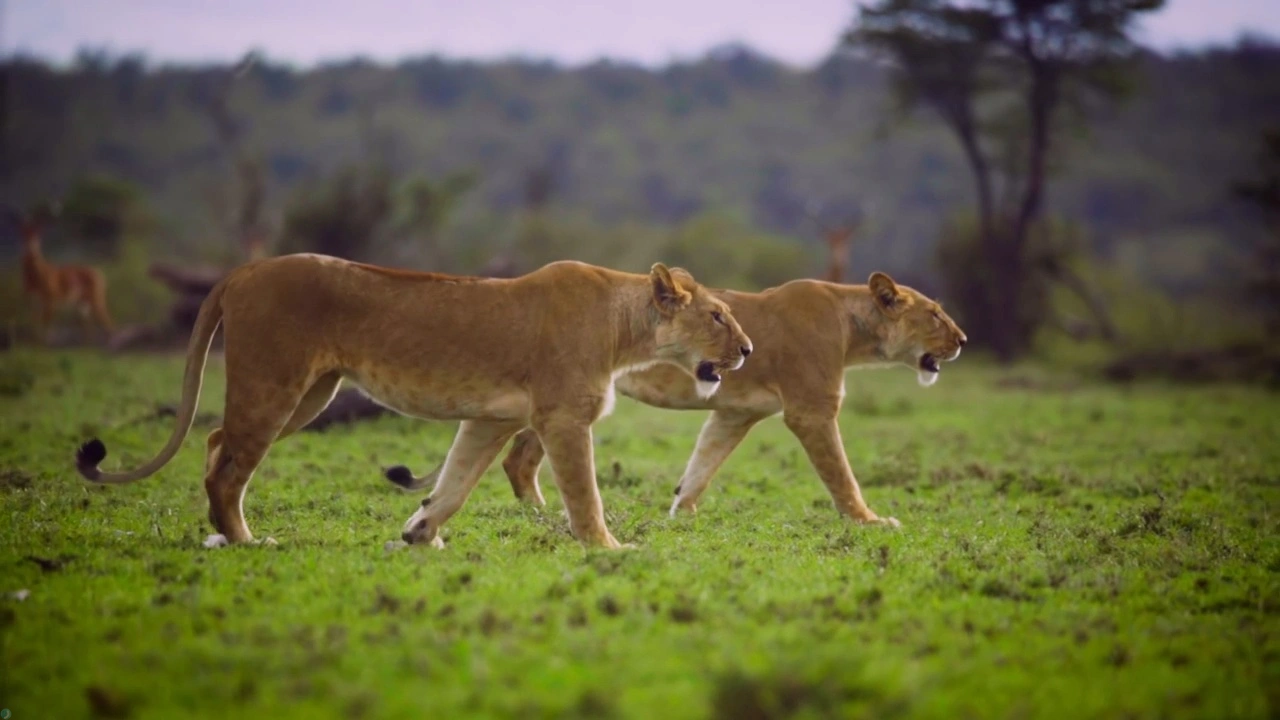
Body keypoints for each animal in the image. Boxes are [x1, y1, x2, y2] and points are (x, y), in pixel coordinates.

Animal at [10, 204, 115, 345]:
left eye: (37, 234)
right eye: (23, 233)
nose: (31, 249)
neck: (35, 277)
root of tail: (99, 274)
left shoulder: (50, 300)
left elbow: (46, 328)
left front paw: (42, 346)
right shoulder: (31, 300)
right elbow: (35, 325)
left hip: (96, 300)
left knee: (109, 324)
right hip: (82, 304)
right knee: (90, 328)